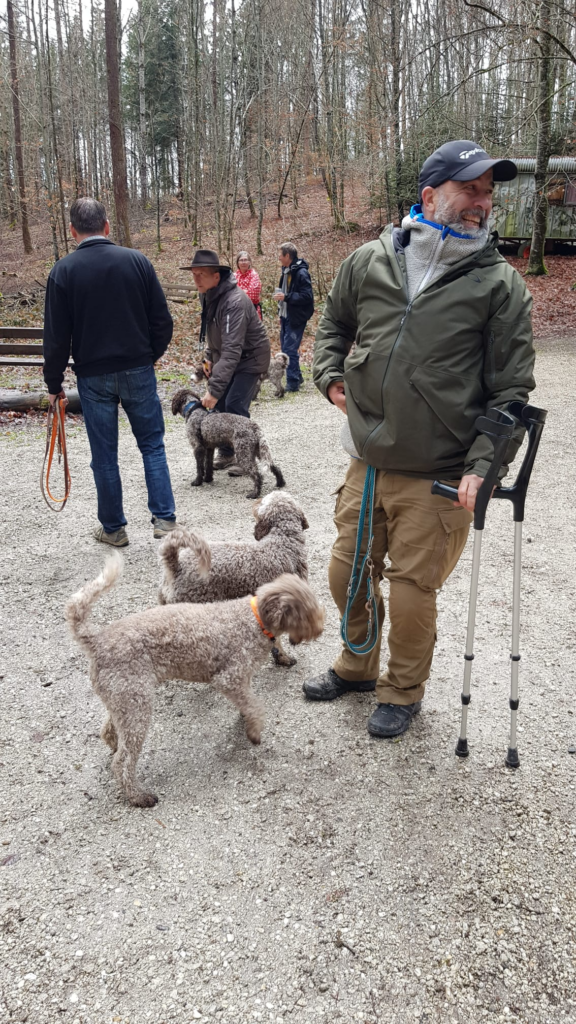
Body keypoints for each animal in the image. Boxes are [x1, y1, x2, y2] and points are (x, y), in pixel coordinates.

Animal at [67, 552, 323, 806]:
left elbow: (247, 702)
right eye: (308, 612)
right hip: (135, 705)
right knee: (123, 762)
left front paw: (246, 719)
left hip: (125, 699)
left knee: (109, 731)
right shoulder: (229, 677)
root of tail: (96, 641)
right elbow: (255, 706)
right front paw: (254, 732)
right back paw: (138, 796)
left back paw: (114, 745)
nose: (321, 629)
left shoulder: (242, 679)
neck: (254, 620)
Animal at [156, 491, 309, 667]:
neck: (283, 542)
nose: (255, 502)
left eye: (262, 502)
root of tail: (176, 566)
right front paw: (283, 658)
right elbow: (277, 641)